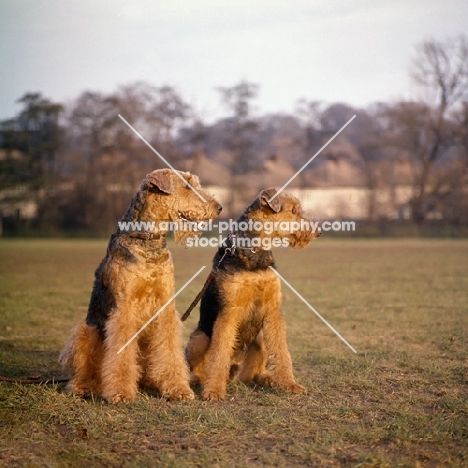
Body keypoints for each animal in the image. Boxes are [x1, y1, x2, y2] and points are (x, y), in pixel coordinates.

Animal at [59, 168, 223, 402]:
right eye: (187, 186)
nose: (218, 207)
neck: (148, 240)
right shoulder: (124, 310)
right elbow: (122, 354)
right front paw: (121, 392)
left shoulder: (165, 306)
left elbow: (170, 351)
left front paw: (178, 389)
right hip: (85, 332)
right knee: (88, 370)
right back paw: (84, 386)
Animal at [186, 188, 322, 400]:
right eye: (293, 211)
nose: (318, 232)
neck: (255, 250)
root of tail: (234, 374)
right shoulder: (229, 310)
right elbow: (220, 352)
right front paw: (213, 391)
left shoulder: (273, 309)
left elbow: (282, 352)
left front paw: (290, 384)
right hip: (199, 338)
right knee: (200, 367)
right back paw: (199, 381)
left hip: (260, 340)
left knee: (255, 373)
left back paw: (268, 378)